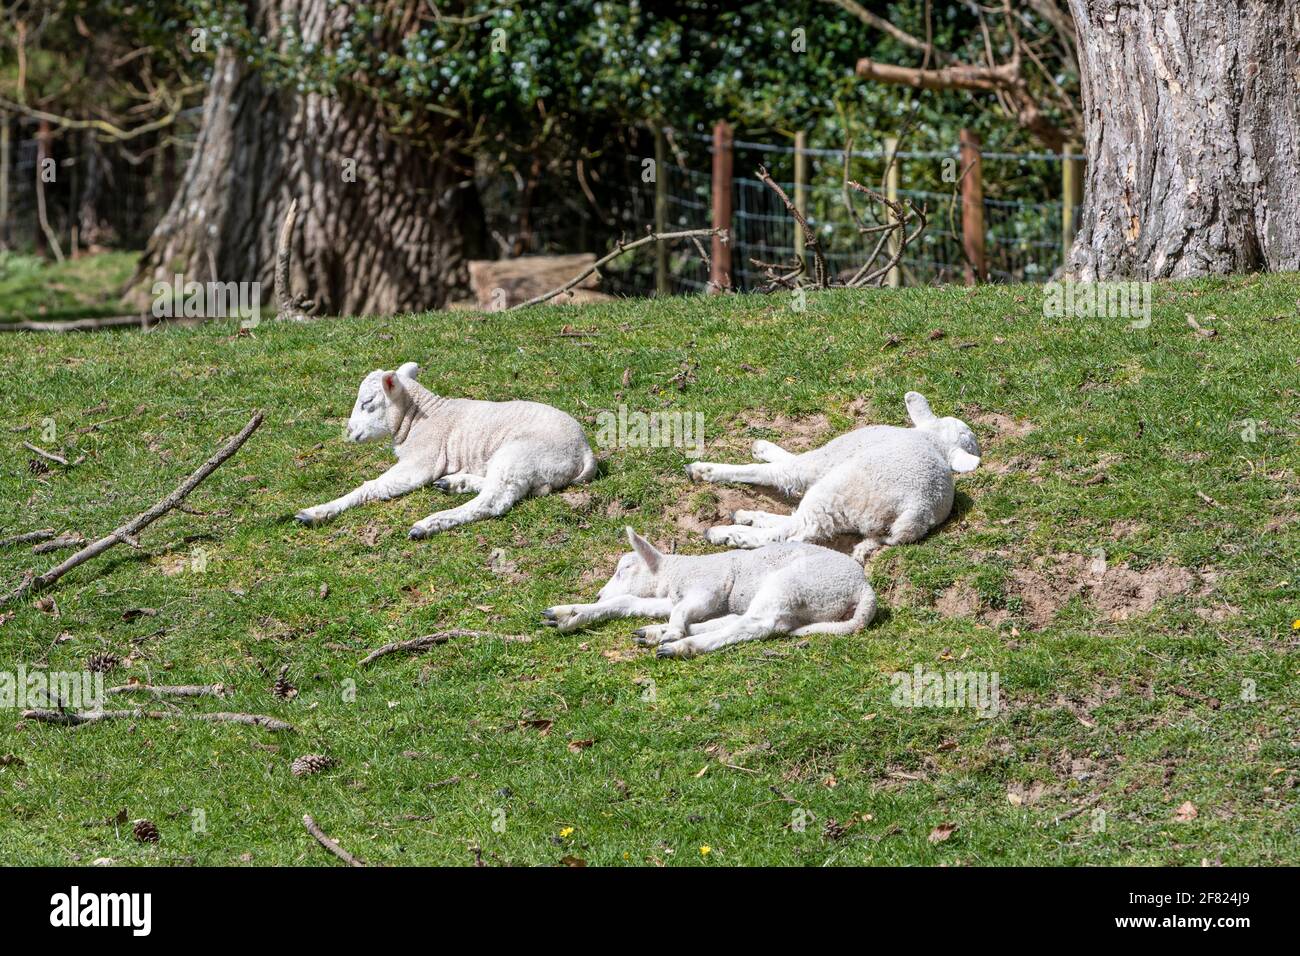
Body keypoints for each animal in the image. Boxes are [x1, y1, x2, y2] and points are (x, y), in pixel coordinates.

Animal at [295, 362, 597, 538]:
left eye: (367, 403)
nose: (349, 432)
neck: (417, 418)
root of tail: (585, 452)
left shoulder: (422, 459)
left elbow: (373, 486)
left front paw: (316, 512)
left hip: (521, 454)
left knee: (493, 501)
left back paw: (429, 524)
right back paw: (454, 483)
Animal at [541, 527, 877, 658]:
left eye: (624, 569)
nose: (599, 595)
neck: (676, 571)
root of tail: (864, 589)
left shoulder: (708, 588)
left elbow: (680, 612)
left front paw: (674, 633)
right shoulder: (678, 598)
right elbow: (632, 601)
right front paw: (569, 613)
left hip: (795, 584)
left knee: (756, 625)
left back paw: (682, 645)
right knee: (741, 621)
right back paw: (654, 632)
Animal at [684, 391, 980, 562]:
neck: (931, 439)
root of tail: (916, 514)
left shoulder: (827, 458)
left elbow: (779, 471)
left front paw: (705, 470)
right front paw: (763, 448)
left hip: (838, 491)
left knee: (791, 533)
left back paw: (726, 533)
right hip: (849, 510)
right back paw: (748, 517)